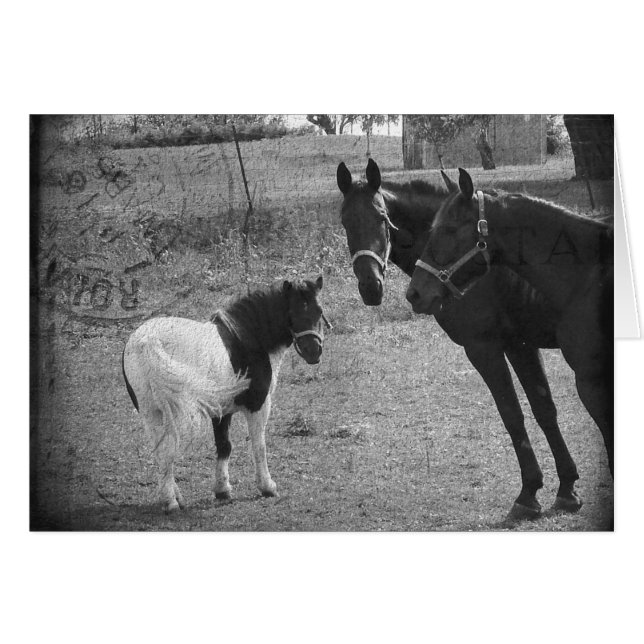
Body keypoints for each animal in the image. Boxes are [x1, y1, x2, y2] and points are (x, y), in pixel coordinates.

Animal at [122, 277, 329, 512]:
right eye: (291, 312)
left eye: (319, 310)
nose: (313, 351)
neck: (247, 338)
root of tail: (147, 341)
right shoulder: (258, 405)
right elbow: (259, 445)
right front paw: (267, 487)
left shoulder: (221, 411)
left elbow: (224, 446)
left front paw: (222, 490)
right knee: (166, 451)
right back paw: (171, 502)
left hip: (150, 413)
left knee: (162, 452)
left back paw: (174, 498)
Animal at [338, 159, 587, 521]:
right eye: (345, 222)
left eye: (382, 218)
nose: (370, 285)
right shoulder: (520, 346)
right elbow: (544, 409)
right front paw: (567, 487)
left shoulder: (483, 348)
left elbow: (512, 414)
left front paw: (528, 494)